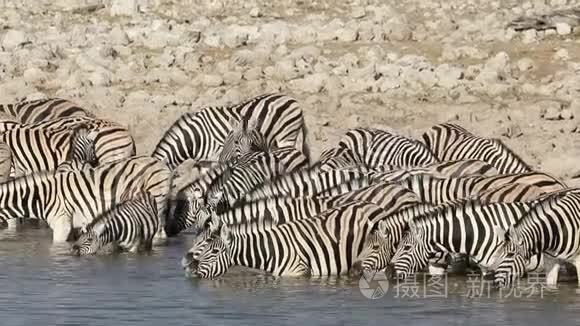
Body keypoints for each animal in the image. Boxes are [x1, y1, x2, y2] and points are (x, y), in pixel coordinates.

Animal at [179, 201, 392, 278]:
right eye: (199, 242)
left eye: (214, 251)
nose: (189, 268)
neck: (270, 250)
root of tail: (374, 205)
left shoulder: (297, 273)